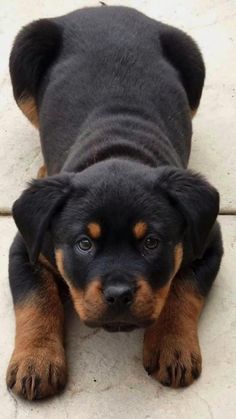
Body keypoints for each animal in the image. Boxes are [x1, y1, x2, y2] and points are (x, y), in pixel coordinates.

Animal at [6, 5, 223, 400]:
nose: (119, 294)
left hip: (192, 61)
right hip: (24, 53)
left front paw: (173, 346)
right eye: (84, 244)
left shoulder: (208, 237)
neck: (118, 145)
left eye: (151, 242)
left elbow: (184, 288)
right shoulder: (26, 245)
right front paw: (36, 362)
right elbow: (35, 299)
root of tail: (103, 9)